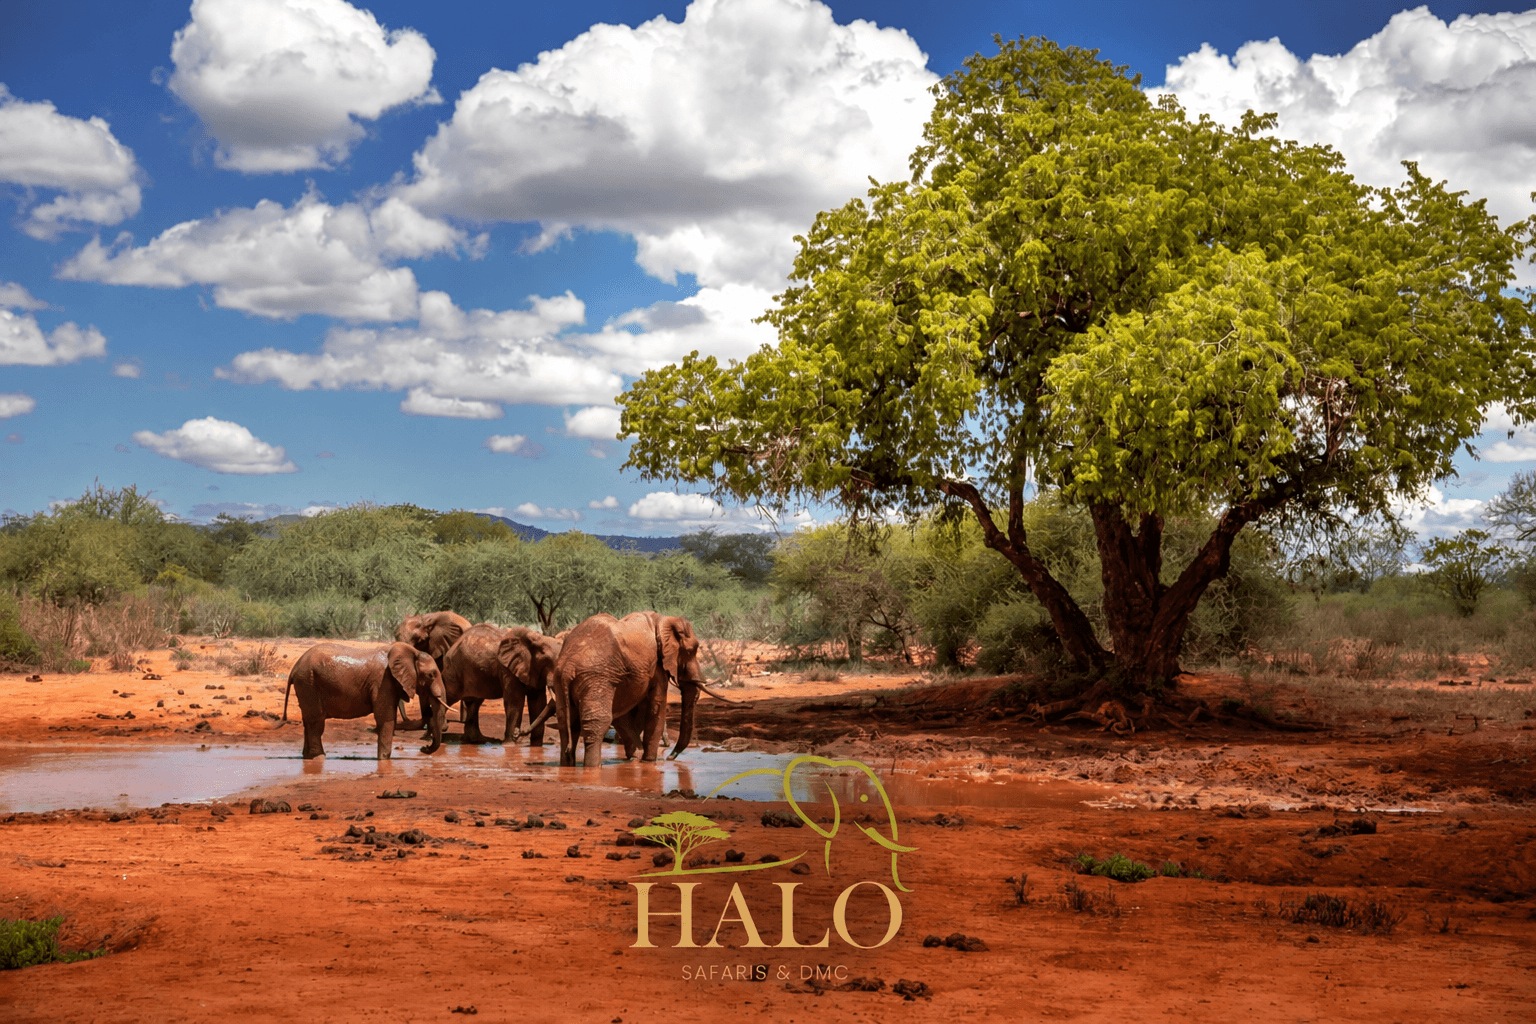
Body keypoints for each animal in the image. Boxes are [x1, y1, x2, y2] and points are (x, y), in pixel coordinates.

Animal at [283, 641, 448, 759]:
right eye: (431, 675)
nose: (423, 748)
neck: (412, 652)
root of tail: (294, 668)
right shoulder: (383, 682)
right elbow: (385, 718)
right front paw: (383, 760)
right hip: (308, 682)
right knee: (316, 722)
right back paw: (319, 757)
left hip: (306, 683)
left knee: (308, 720)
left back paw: (308, 757)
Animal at [549, 611, 727, 768]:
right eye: (691, 651)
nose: (670, 758)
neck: (663, 620)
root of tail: (569, 666)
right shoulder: (657, 666)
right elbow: (656, 707)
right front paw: (649, 762)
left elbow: (626, 713)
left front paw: (635, 758)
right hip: (596, 677)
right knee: (597, 722)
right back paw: (593, 768)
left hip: (561, 679)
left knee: (567, 722)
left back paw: (567, 766)